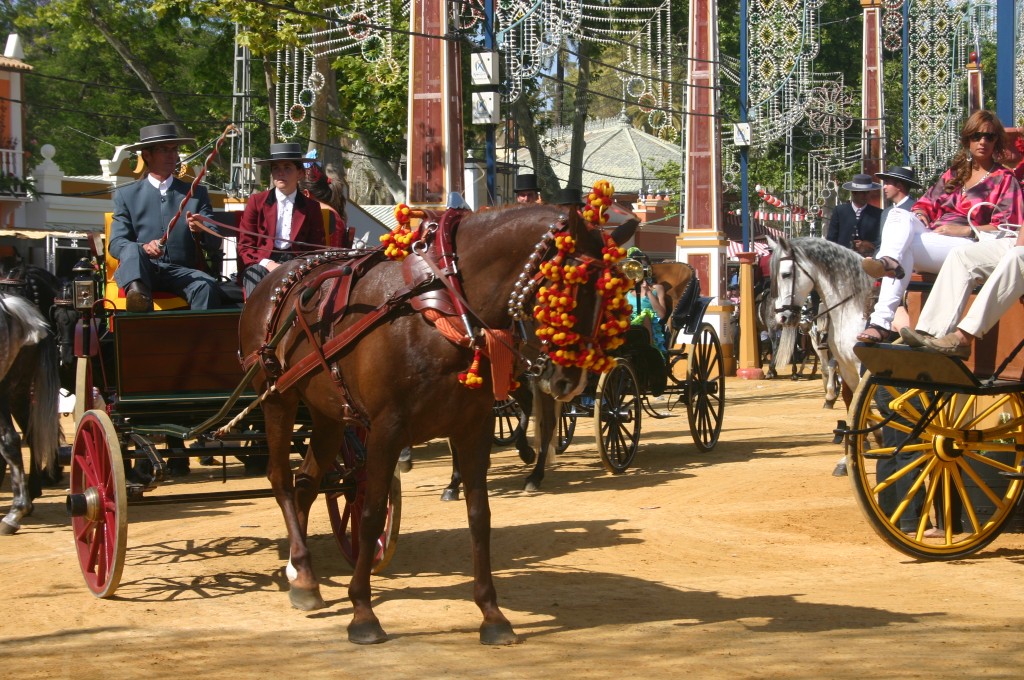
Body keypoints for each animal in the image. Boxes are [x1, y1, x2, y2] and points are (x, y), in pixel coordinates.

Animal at [238, 204, 634, 647]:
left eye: (611, 296)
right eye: (569, 290)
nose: (570, 380)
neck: (439, 308)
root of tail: (277, 277)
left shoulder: (473, 427)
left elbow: (480, 516)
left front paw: (492, 614)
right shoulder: (385, 430)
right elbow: (371, 513)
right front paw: (363, 612)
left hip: (327, 413)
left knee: (306, 483)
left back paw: (302, 574)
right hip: (277, 398)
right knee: (281, 479)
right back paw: (303, 565)